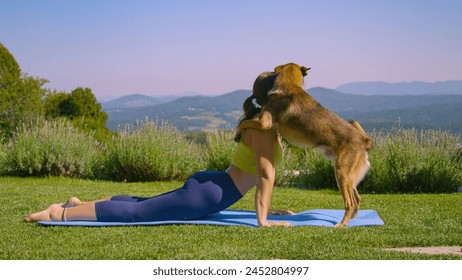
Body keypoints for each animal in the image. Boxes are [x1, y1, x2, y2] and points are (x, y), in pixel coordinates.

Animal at [238, 62, 372, 226]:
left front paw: (237, 133)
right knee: (357, 198)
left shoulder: (264, 123)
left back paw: (341, 225)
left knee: (350, 202)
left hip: (341, 175)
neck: (289, 86)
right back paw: (353, 220)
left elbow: (245, 123)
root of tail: (364, 141)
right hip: (348, 178)